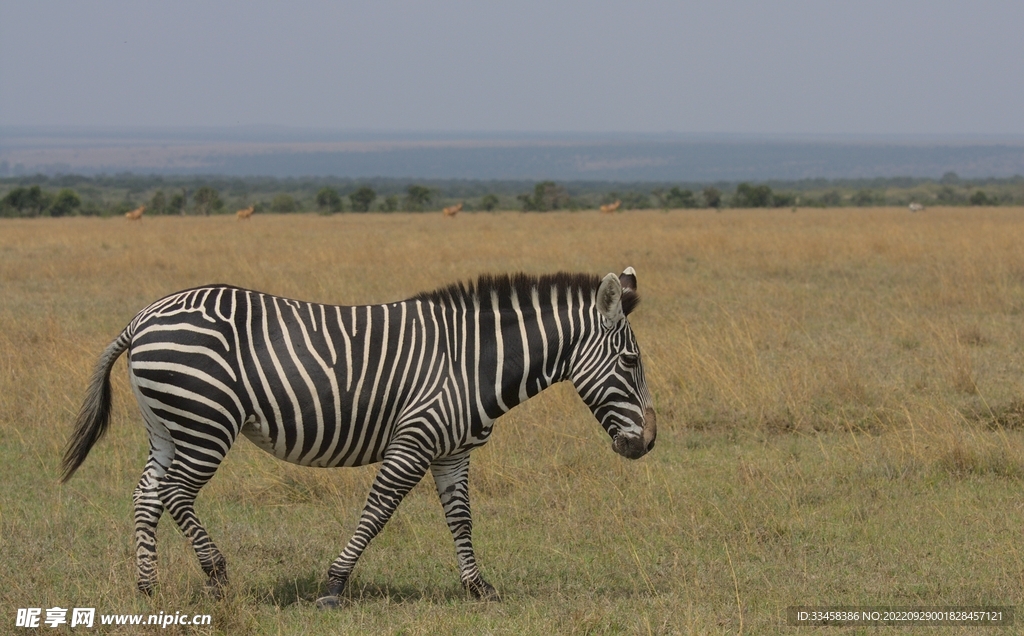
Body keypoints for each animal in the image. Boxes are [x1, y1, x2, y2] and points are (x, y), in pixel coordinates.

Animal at [59, 266, 655, 606]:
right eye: (630, 362)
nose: (646, 444)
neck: (471, 363)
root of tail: (142, 318)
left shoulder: (453, 452)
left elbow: (460, 519)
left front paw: (479, 589)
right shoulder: (414, 439)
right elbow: (377, 512)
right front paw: (332, 588)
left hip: (168, 427)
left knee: (147, 496)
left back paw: (146, 589)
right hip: (206, 423)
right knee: (175, 494)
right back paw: (220, 579)